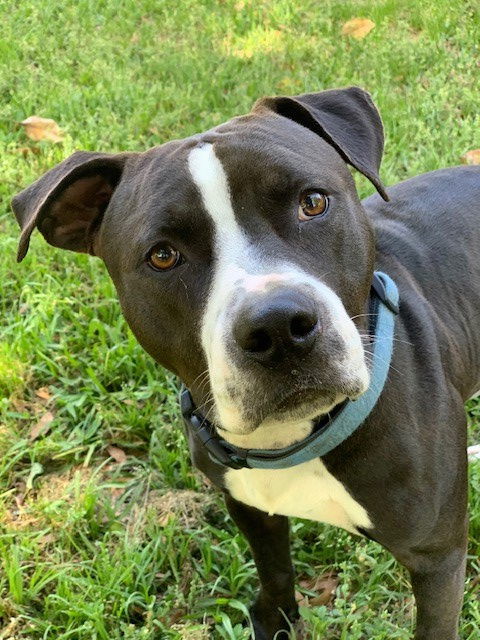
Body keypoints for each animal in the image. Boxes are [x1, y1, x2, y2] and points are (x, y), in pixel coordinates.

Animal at [12, 86, 480, 640]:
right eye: (163, 255)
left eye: (313, 203)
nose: (277, 327)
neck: (291, 439)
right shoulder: (249, 505)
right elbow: (274, 570)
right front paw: (276, 619)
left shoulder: (436, 559)